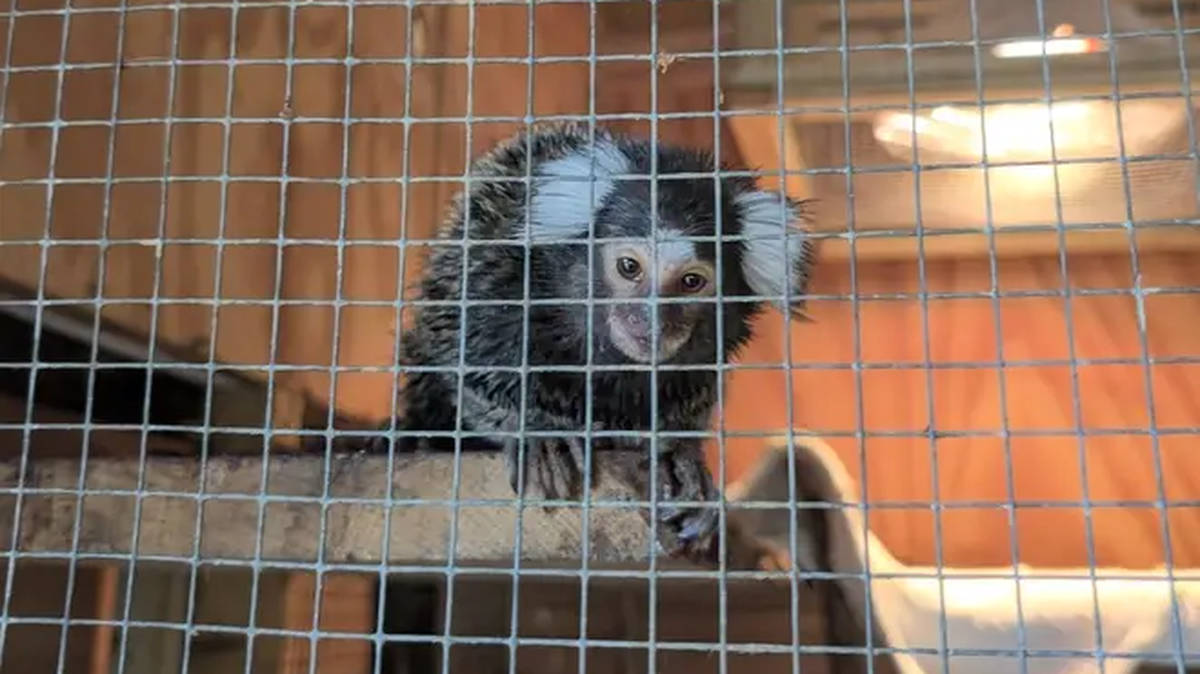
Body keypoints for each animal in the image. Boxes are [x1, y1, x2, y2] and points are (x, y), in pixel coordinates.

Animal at [372, 122, 816, 561]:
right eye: (629, 267)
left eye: (692, 281)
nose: (651, 320)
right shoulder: (494, 274)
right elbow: (466, 361)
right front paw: (537, 431)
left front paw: (680, 457)